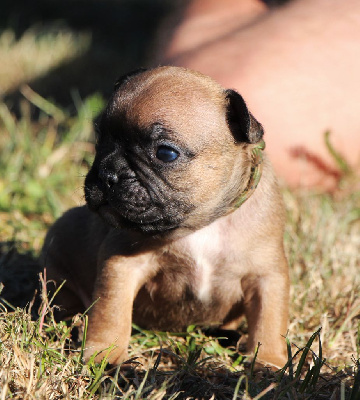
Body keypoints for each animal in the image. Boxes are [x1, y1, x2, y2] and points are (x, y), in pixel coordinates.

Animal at [40, 66, 290, 368]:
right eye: (100, 138)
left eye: (166, 153)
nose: (107, 174)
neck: (201, 225)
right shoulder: (121, 266)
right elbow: (111, 313)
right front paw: (105, 354)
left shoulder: (266, 276)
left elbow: (269, 320)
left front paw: (269, 361)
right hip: (56, 272)